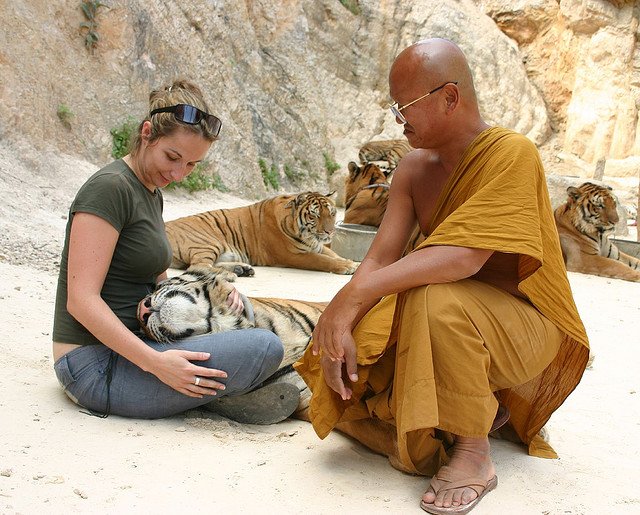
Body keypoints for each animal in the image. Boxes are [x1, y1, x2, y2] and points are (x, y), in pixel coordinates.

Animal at [164, 191, 360, 280]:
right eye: (314, 215)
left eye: (332, 213)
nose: (330, 231)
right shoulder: (293, 255)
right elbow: (324, 260)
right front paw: (347, 266)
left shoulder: (317, 246)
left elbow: (334, 254)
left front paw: (353, 263)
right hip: (208, 242)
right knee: (198, 266)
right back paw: (229, 275)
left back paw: (242, 269)